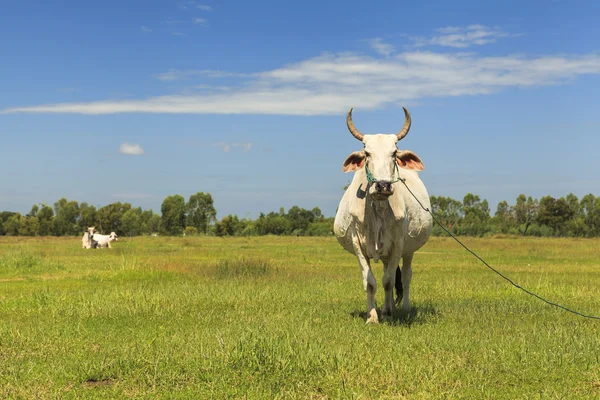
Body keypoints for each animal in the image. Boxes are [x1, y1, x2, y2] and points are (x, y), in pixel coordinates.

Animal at [332, 107, 432, 324]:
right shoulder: (358, 245)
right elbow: (370, 282)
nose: (383, 185)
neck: (377, 209)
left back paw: (401, 308)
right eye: (367, 153)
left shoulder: (398, 245)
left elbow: (388, 281)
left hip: (409, 250)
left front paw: (385, 313)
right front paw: (372, 317)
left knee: (405, 277)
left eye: (394, 152)